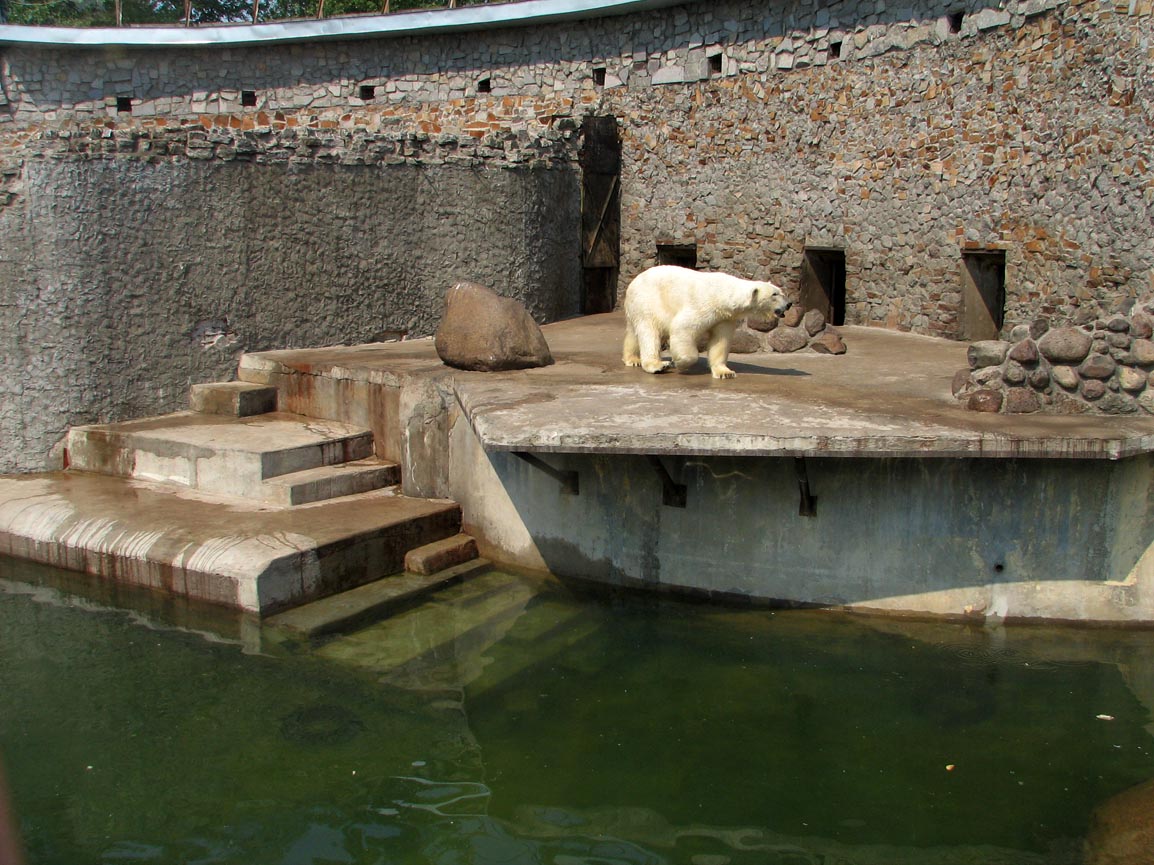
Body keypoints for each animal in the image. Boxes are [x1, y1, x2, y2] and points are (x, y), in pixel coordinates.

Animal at [622, 265, 793, 379]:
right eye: (775, 294)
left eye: (780, 291)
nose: (789, 304)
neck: (722, 294)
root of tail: (633, 282)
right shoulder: (703, 306)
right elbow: (682, 328)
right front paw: (680, 363)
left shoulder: (724, 317)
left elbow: (720, 342)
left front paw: (725, 372)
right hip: (648, 301)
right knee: (649, 331)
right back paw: (657, 365)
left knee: (634, 334)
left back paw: (633, 359)